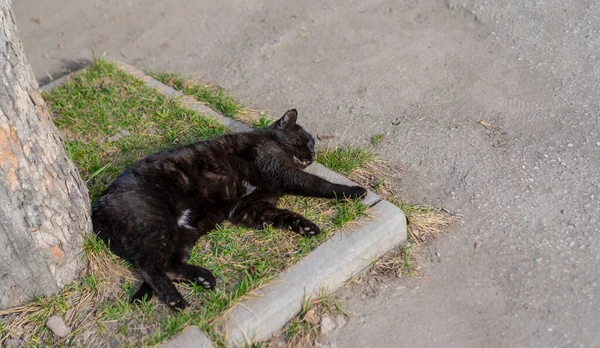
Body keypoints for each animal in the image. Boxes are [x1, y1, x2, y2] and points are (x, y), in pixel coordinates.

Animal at [91, 109, 368, 310]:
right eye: (306, 142)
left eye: (313, 147)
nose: (312, 156)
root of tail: (98, 204)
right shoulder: (282, 172)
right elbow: (320, 184)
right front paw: (353, 191)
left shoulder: (249, 208)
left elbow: (283, 215)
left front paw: (305, 227)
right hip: (157, 225)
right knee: (149, 266)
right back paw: (176, 300)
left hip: (186, 231)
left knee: (168, 265)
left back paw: (203, 278)